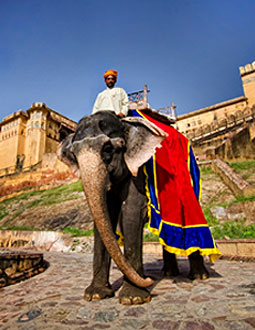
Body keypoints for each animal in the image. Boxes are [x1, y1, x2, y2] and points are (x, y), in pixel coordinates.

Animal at [58, 110, 209, 304]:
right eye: (74, 154)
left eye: (108, 148)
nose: (149, 279)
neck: (125, 124)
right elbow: (105, 216)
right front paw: (95, 295)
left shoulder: (138, 171)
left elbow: (131, 213)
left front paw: (133, 298)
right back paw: (169, 273)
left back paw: (198, 276)